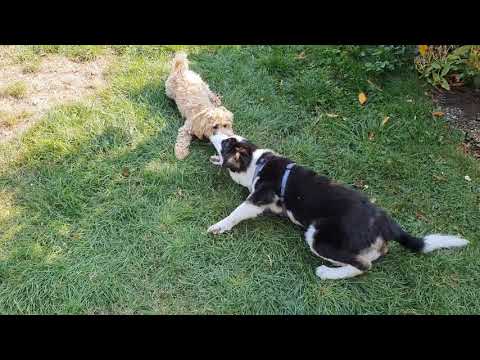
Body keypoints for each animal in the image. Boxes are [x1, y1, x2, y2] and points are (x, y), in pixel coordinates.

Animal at [207, 134, 468, 280]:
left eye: (226, 142)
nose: (214, 132)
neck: (256, 163)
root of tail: (385, 222)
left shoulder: (261, 197)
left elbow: (237, 212)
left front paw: (218, 226)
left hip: (317, 235)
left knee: (363, 265)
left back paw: (328, 271)